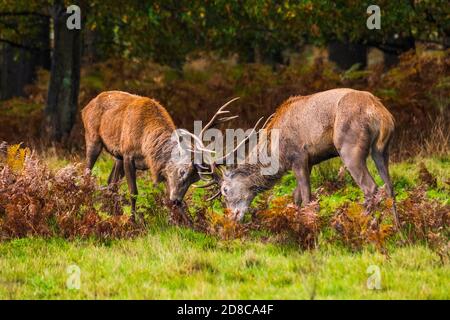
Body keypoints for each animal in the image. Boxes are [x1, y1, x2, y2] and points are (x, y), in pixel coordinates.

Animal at [83, 91, 239, 219]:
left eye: (194, 180)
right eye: (182, 171)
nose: (176, 200)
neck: (145, 145)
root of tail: (85, 108)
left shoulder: (159, 168)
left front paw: (187, 223)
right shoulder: (128, 154)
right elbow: (133, 192)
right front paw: (132, 221)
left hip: (117, 156)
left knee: (111, 183)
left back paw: (111, 212)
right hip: (93, 138)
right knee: (88, 173)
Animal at [196, 87, 398, 228]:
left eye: (225, 190)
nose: (231, 218)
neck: (277, 153)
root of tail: (381, 113)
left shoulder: (298, 156)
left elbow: (307, 197)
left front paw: (310, 226)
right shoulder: (309, 161)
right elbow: (296, 196)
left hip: (349, 147)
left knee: (371, 188)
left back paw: (359, 225)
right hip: (382, 149)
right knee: (389, 187)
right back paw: (398, 230)